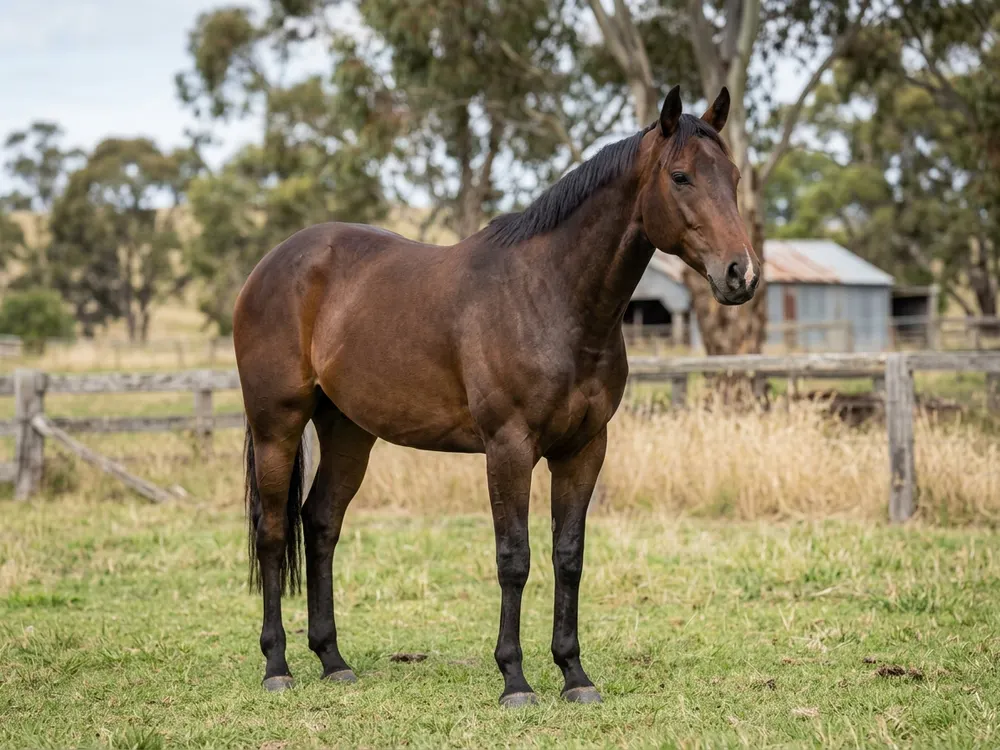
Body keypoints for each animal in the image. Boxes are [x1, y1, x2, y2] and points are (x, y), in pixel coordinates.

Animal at [234, 85, 759, 707]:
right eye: (680, 177)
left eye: (733, 175)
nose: (741, 274)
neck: (550, 296)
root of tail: (270, 265)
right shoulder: (508, 448)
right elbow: (515, 558)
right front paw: (515, 679)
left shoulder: (584, 449)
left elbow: (568, 557)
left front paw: (574, 674)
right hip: (277, 425)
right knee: (272, 532)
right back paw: (276, 667)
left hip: (348, 431)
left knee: (319, 524)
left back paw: (333, 660)